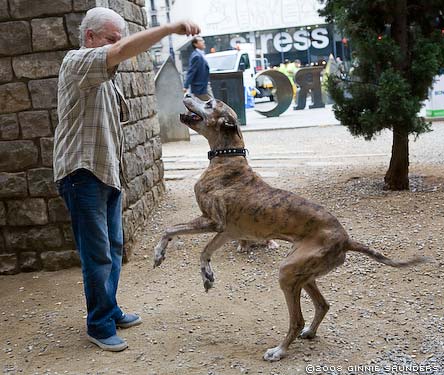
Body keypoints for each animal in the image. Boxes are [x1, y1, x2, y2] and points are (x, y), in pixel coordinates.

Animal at [153, 95, 430, 362]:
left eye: (209, 103)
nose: (187, 94)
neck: (228, 160)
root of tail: (346, 238)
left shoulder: (213, 221)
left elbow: (169, 229)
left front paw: (159, 254)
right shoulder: (228, 231)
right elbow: (204, 252)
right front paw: (207, 276)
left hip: (288, 272)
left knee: (297, 320)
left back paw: (279, 351)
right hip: (303, 274)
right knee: (322, 305)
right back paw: (309, 333)